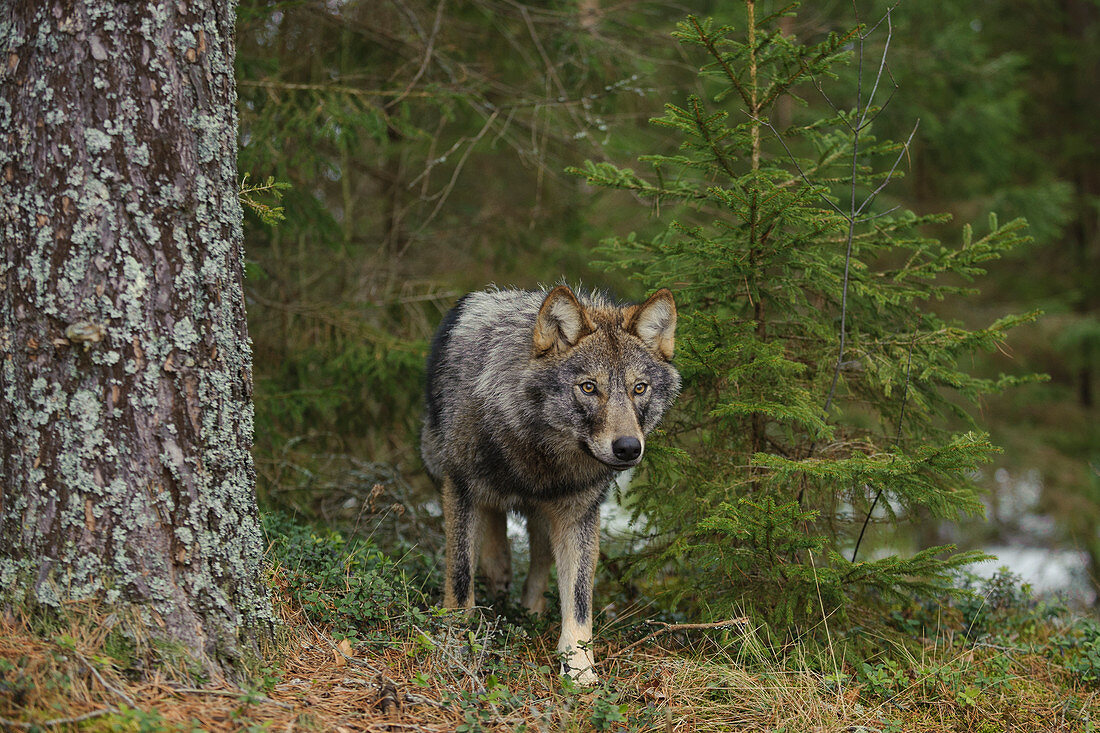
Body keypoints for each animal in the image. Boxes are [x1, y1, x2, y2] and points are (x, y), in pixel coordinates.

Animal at [420, 281, 677, 682]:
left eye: (639, 388)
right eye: (588, 388)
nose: (628, 449)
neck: (538, 450)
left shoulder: (579, 515)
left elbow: (579, 599)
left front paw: (580, 670)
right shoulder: (459, 486)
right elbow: (460, 576)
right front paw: (457, 644)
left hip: (547, 513)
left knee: (539, 558)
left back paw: (531, 607)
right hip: (439, 464)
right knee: (492, 521)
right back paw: (497, 568)